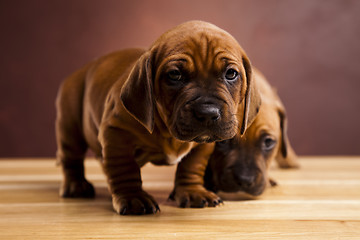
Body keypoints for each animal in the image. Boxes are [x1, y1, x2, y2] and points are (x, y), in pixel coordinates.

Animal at [54, 20, 260, 215]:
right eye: (175, 75)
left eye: (231, 74)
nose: (208, 112)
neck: (167, 131)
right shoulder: (116, 133)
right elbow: (124, 167)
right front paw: (133, 197)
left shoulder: (204, 144)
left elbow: (192, 165)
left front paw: (193, 191)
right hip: (70, 126)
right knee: (71, 158)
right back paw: (76, 185)